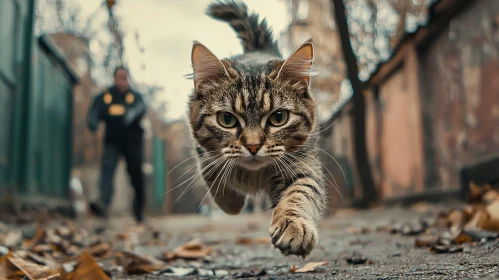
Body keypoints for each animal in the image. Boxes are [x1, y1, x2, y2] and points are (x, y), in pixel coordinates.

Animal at [188, 0, 328, 258]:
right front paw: (232, 204)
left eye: (278, 118)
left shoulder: (302, 164)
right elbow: (213, 175)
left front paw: (294, 226)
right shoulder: (204, 153)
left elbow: (299, 193)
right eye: (227, 119)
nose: (253, 146)